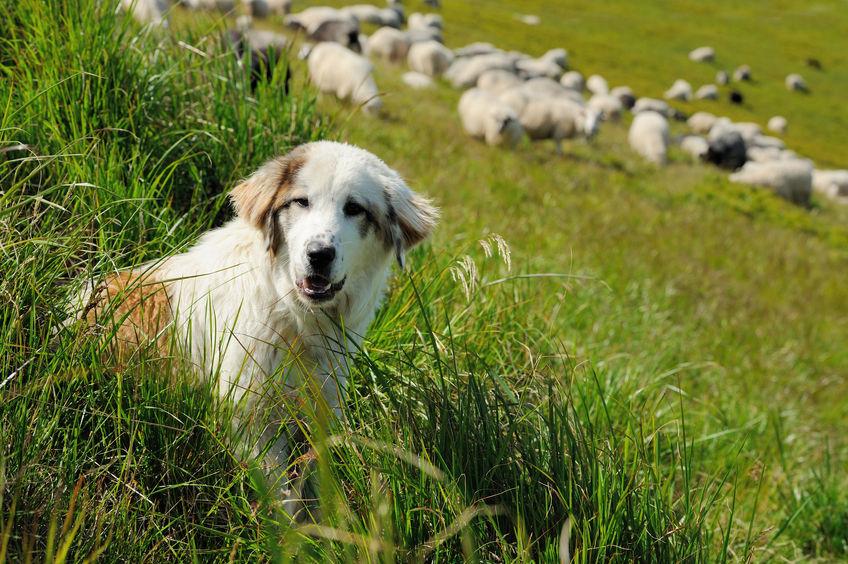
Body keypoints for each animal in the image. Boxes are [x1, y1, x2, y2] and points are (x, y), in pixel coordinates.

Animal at [74, 142, 438, 498]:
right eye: (301, 202)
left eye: (355, 209)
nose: (319, 254)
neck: (293, 315)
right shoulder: (249, 420)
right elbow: (284, 500)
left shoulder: (320, 409)